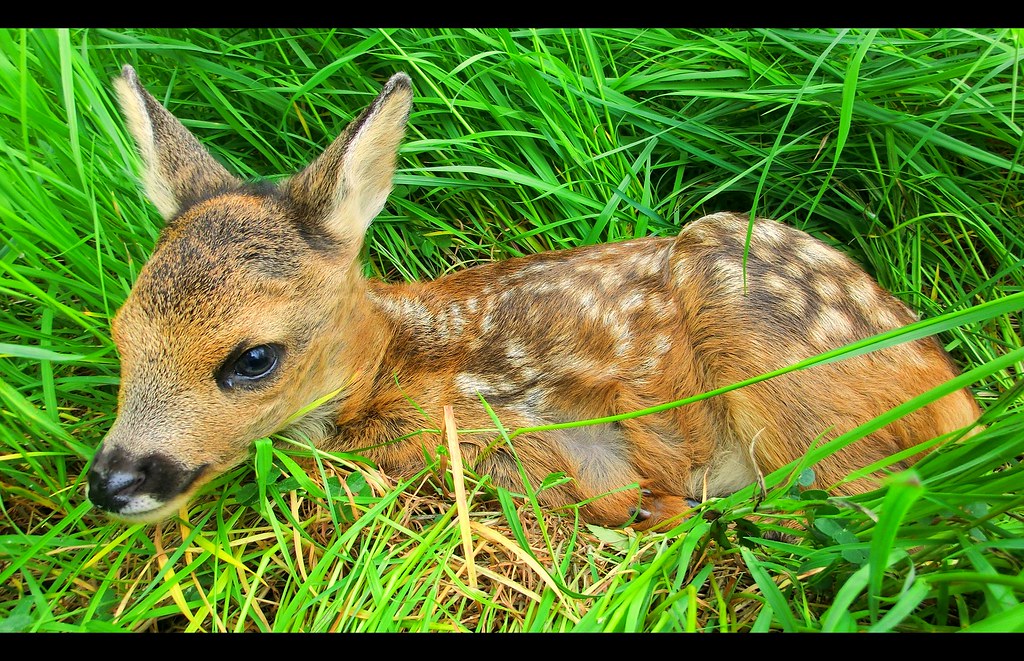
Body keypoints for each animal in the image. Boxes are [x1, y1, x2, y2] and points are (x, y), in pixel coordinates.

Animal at [86, 65, 982, 530]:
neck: (401, 368)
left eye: (254, 357)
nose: (111, 482)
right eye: (121, 334)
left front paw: (653, 511)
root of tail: (955, 392)